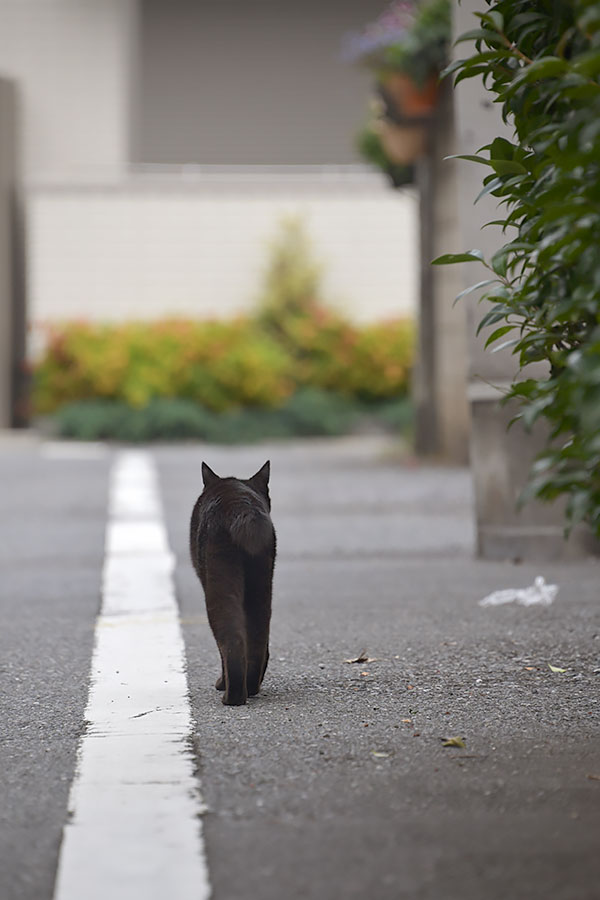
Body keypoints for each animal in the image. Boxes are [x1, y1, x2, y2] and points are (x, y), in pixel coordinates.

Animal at [190, 460, 276, 708]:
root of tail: (243, 509)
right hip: (261, 584)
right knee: (258, 638)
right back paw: (252, 687)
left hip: (219, 584)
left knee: (232, 640)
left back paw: (232, 695)